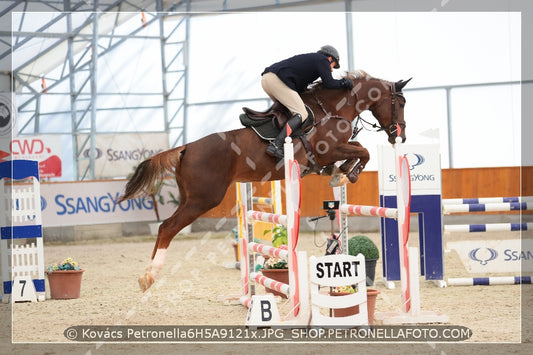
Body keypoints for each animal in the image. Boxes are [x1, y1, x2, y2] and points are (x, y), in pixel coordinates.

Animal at [118, 70, 410, 292]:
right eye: (401, 103)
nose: (400, 136)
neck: (332, 110)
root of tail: (186, 147)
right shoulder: (329, 149)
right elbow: (364, 150)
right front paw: (348, 173)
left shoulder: (336, 150)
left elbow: (358, 148)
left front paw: (339, 173)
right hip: (203, 199)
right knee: (168, 227)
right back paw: (151, 274)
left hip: (190, 197)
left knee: (163, 228)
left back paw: (147, 273)